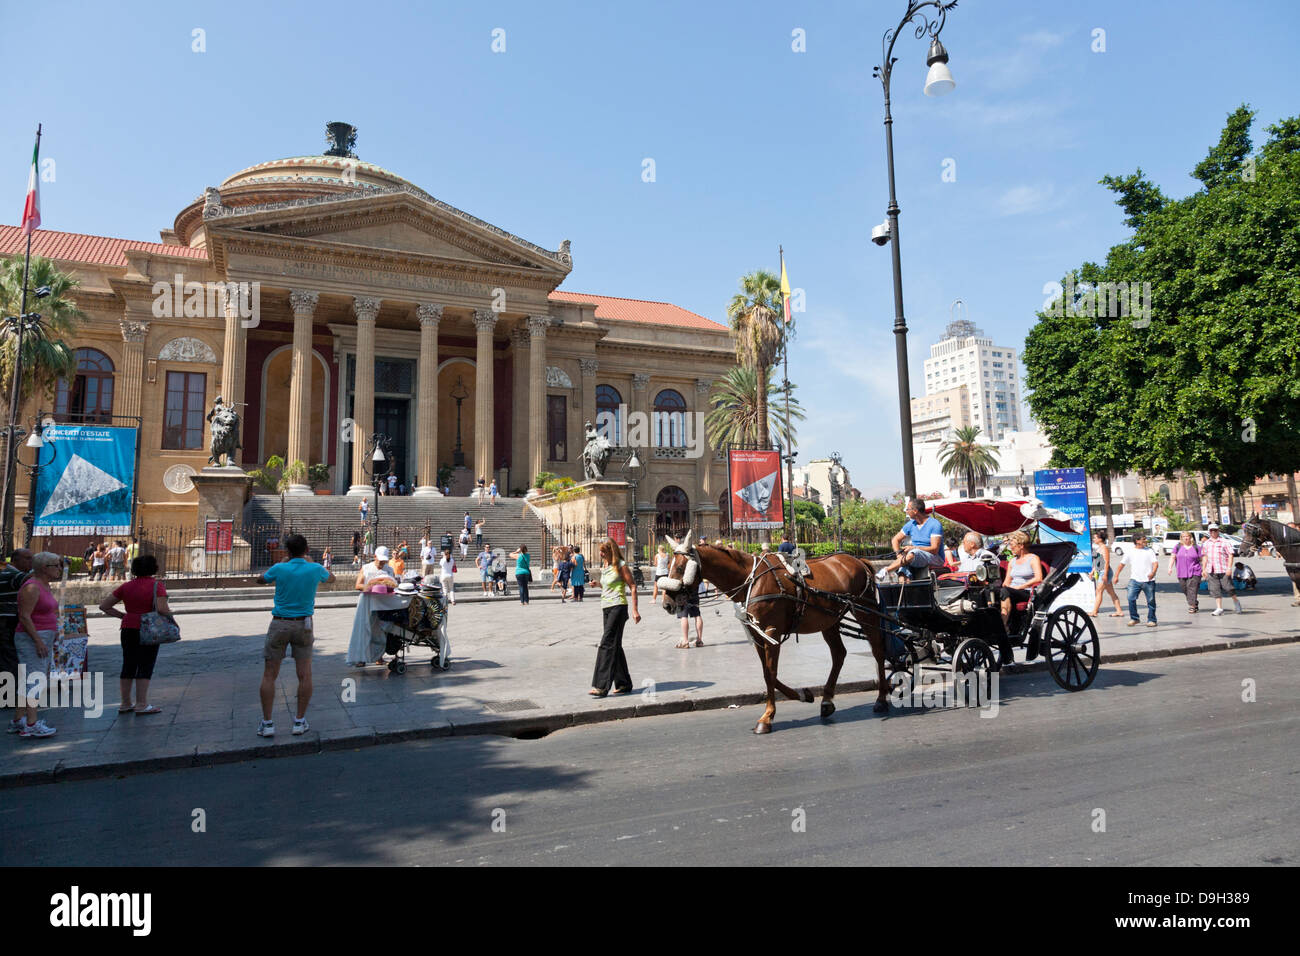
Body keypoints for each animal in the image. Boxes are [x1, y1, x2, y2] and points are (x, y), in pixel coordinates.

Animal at [665, 530, 889, 733]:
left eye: (680, 567)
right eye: (669, 567)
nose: (667, 603)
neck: (750, 579)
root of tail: (859, 560)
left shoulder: (772, 632)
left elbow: (771, 674)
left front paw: (767, 717)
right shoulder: (757, 634)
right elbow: (767, 673)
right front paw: (803, 695)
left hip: (865, 611)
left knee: (878, 650)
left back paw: (881, 699)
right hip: (829, 620)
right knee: (839, 654)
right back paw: (827, 701)